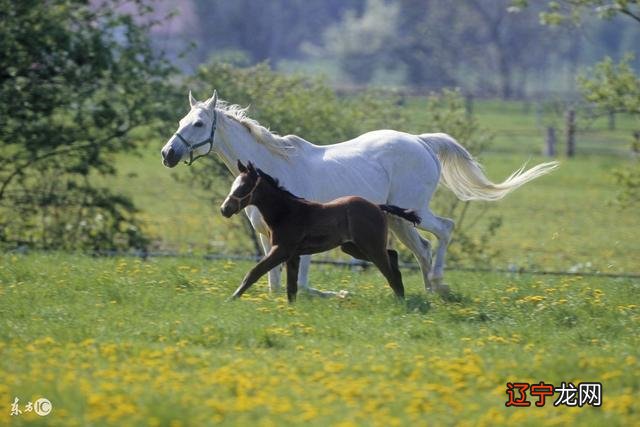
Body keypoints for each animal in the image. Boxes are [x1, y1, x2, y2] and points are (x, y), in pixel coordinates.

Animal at [220, 161, 420, 304]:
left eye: (243, 187)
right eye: (233, 185)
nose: (224, 209)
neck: (286, 212)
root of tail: (377, 207)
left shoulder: (281, 250)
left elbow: (254, 272)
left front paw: (231, 298)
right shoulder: (293, 255)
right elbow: (291, 286)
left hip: (371, 247)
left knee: (389, 270)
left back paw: (400, 301)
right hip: (353, 248)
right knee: (392, 256)